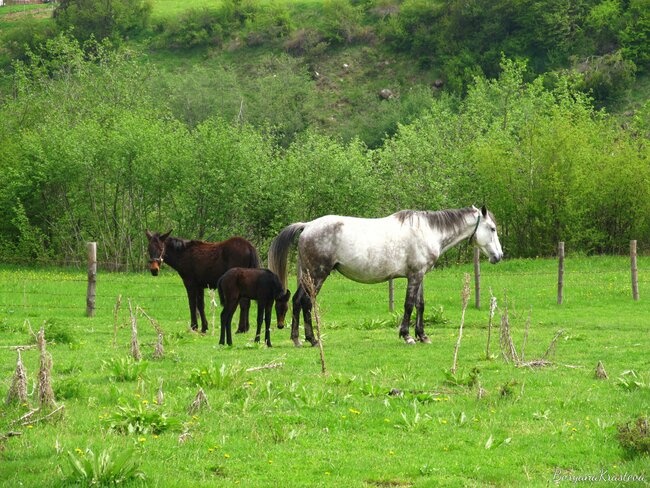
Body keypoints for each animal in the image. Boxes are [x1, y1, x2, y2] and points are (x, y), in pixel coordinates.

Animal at [268, 206, 502, 346]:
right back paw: (312, 339)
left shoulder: (420, 275)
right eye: (492, 228)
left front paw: (423, 335)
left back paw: (298, 339)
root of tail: (307, 226)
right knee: (307, 302)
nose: (498, 256)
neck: (428, 231)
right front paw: (407, 336)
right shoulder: (414, 276)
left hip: (308, 276)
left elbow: (420, 305)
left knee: (297, 301)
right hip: (317, 275)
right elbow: (409, 305)